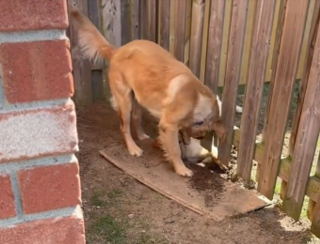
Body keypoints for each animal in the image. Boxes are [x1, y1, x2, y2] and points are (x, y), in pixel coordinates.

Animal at [70, 10, 226, 177]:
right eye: (201, 136)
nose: (189, 141)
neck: (197, 98)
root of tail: (116, 51)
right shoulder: (168, 125)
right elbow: (175, 151)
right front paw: (181, 169)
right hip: (125, 101)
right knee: (124, 128)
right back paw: (133, 148)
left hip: (138, 98)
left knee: (136, 118)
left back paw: (142, 136)